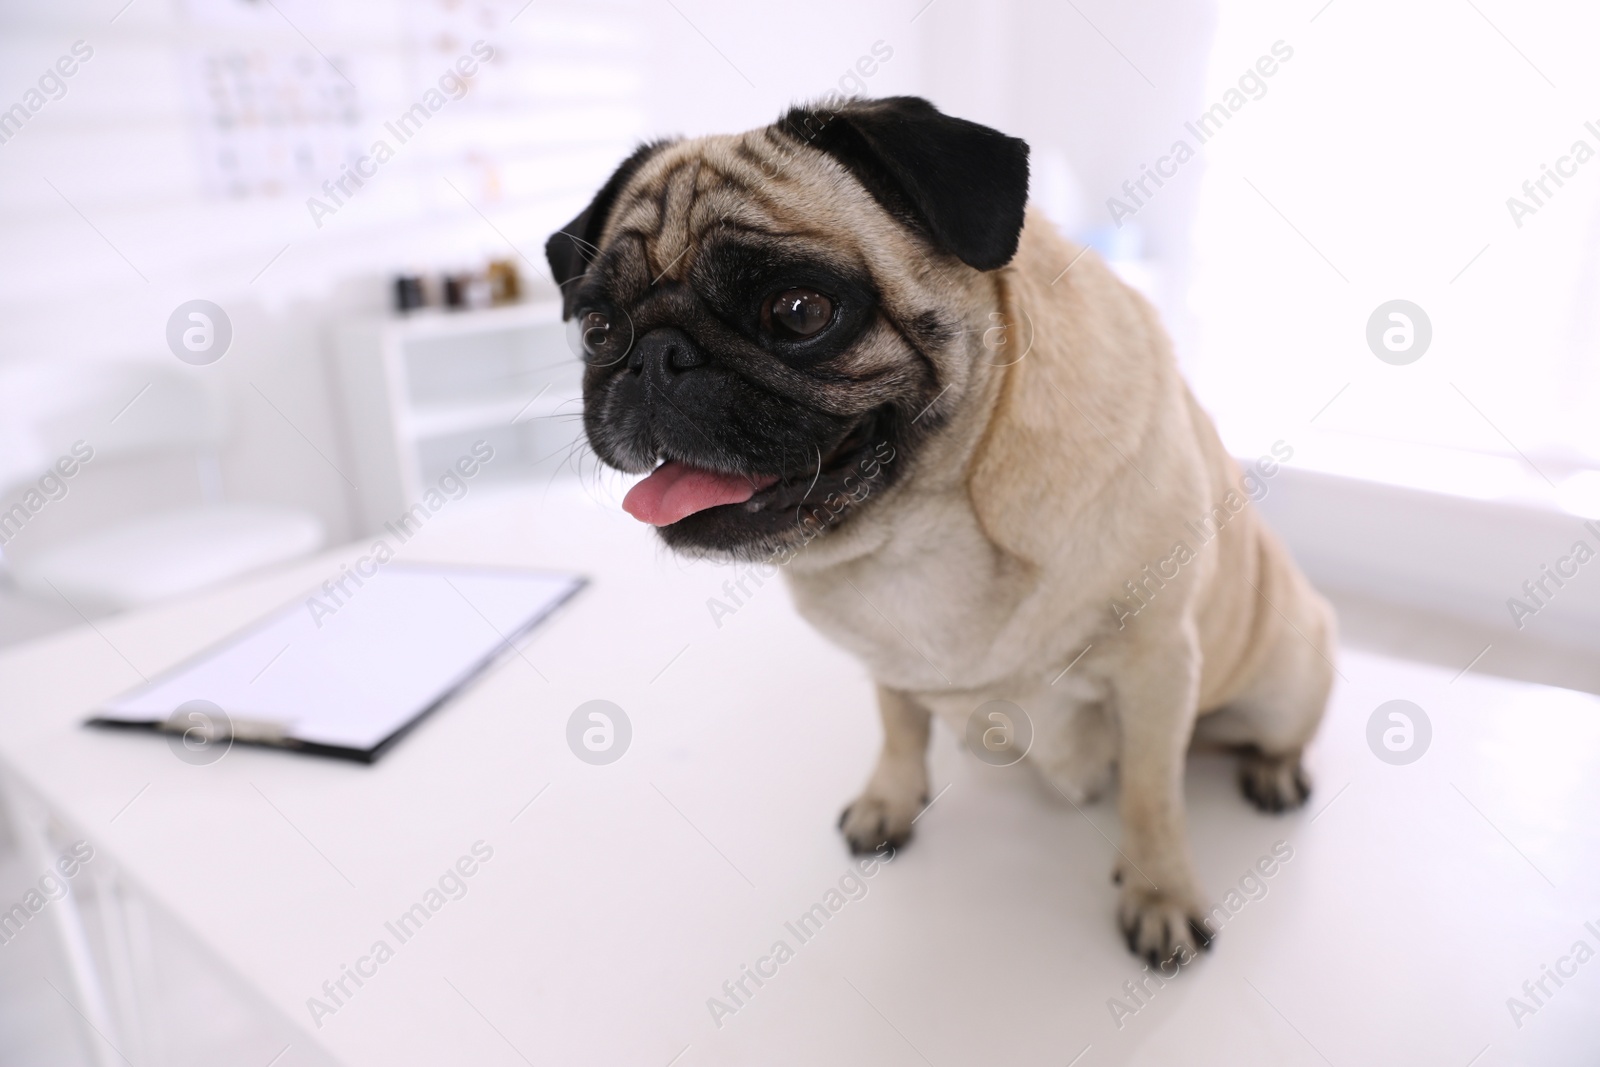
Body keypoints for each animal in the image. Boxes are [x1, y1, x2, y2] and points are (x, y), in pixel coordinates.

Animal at [550, 97, 1337, 966]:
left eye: (799, 310)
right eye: (596, 328)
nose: (653, 357)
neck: (920, 524)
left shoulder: (1158, 665)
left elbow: (1152, 795)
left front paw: (1160, 891)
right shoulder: (888, 664)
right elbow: (899, 729)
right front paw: (889, 802)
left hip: (1283, 676)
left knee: (1274, 733)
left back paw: (1275, 772)